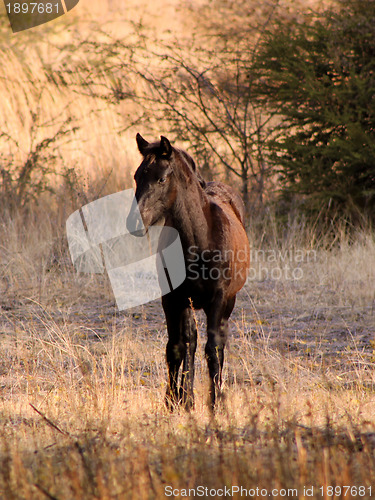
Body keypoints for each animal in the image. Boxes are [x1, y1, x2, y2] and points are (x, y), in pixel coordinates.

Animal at [128, 134, 251, 410]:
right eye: (137, 177)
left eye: (161, 179)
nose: (134, 223)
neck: (199, 240)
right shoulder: (173, 299)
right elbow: (176, 346)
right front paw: (174, 400)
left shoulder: (218, 300)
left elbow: (213, 349)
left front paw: (215, 403)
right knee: (190, 341)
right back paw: (188, 397)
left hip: (228, 302)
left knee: (218, 343)